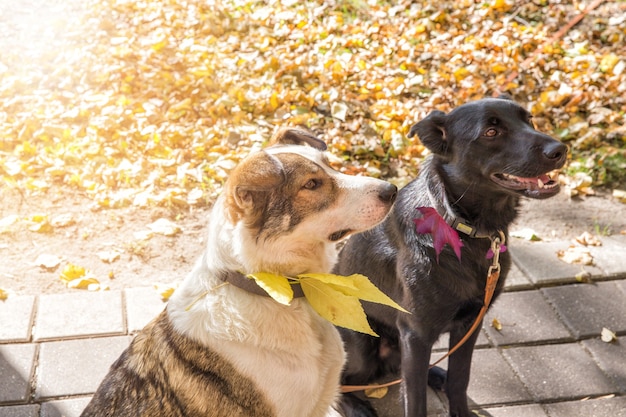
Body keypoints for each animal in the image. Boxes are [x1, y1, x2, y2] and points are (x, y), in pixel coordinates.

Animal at [336, 96, 564, 416]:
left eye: (528, 119)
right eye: (491, 132)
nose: (560, 149)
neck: (460, 226)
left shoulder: (470, 324)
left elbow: (460, 379)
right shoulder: (415, 334)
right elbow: (415, 400)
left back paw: (435, 374)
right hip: (361, 345)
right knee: (342, 380)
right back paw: (356, 406)